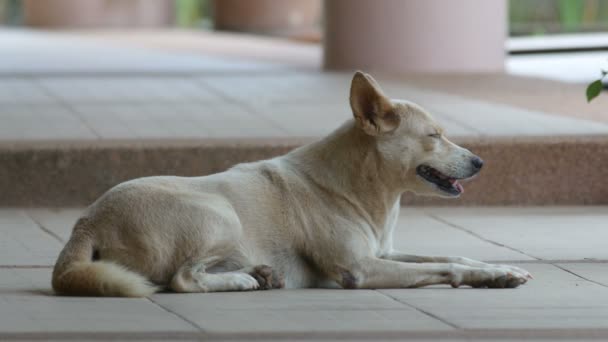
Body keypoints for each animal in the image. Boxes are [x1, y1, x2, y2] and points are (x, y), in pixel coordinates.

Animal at [54, 72, 536, 296]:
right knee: (182, 279)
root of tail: (86, 223)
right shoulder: (361, 267)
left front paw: (500, 270)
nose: (481, 162)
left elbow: (452, 254)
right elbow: (444, 267)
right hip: (219, 214)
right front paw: (486, 275)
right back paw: (242, 281)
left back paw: (259, 273)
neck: (366, 190)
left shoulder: (383, 252)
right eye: (434, 136)